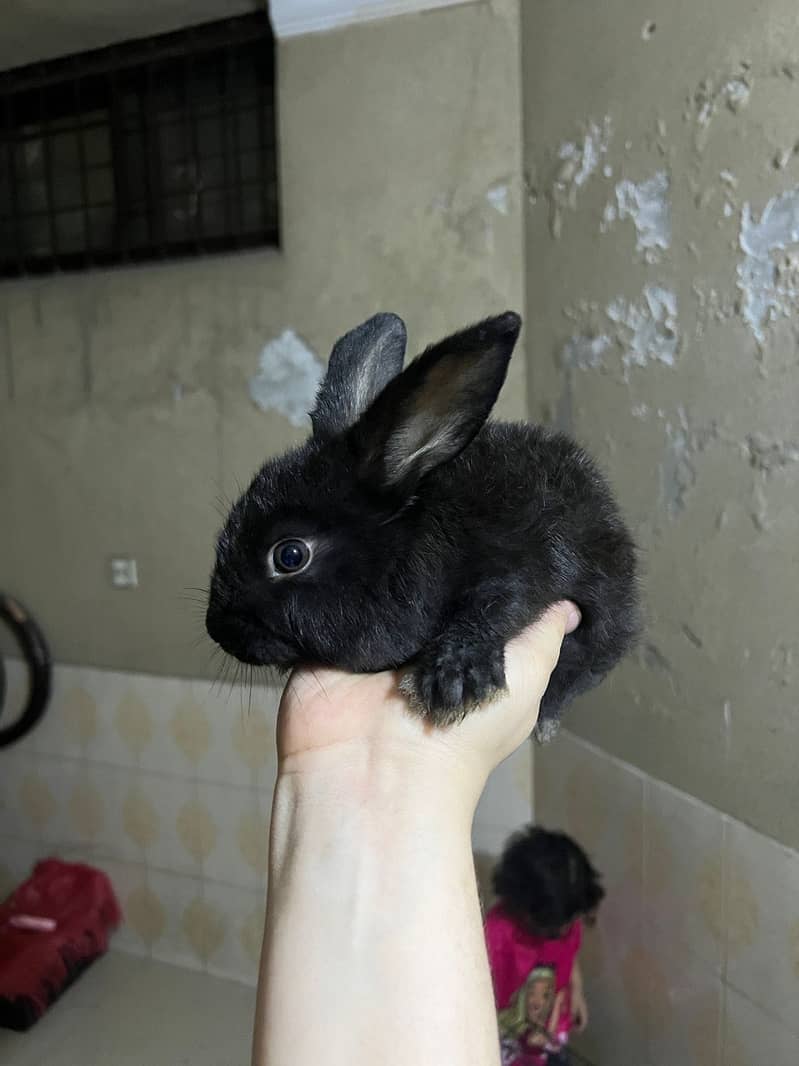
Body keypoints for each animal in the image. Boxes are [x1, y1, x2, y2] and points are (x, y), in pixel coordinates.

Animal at [205, 311, 641, 740]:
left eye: (290, 555)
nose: (218, 630)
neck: (407, 547)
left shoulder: (525, 560)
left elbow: (497, 605)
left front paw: (453, 680)